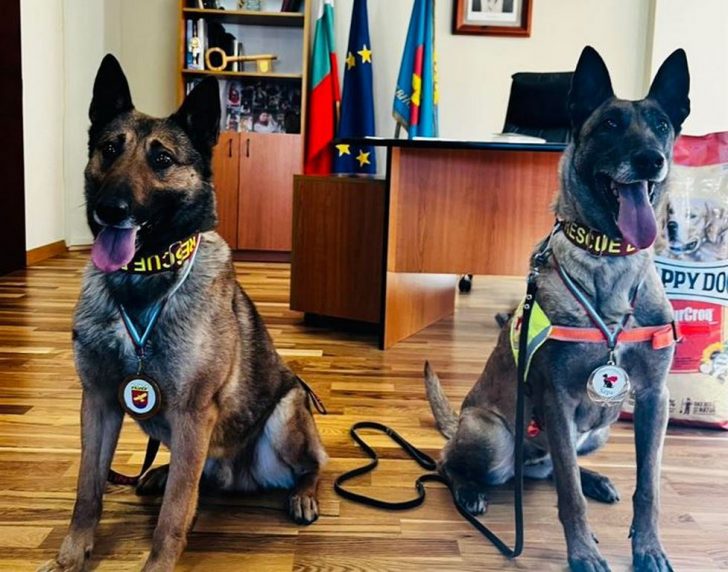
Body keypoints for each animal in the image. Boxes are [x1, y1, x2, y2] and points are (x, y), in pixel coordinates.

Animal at [40, 55, 326, 572]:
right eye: (110, 149)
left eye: (162, 160)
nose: (110, 208)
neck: (143, 281)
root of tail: (236, 474)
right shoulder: (98, 402)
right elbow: (87, 489)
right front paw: (71, 556)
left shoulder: (194, 412)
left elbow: (174, 512)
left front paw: (158, 564)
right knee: (190, 475)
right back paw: (159, 472)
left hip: (286, 410)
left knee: (311, 465)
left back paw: (304, 494)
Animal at [425, 46, 689, 572]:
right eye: (609, 124)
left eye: (662, 126)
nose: (650, 160)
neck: (609, 263)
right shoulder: (557, 399)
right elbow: (570, 496)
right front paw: (584, 552)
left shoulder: (655, 398)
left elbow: (647, 486)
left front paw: (648, 548)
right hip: (493, 436)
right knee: (448, 462)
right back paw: (468, 489)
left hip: (603, 427)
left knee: (552, 468)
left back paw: (596, 478)